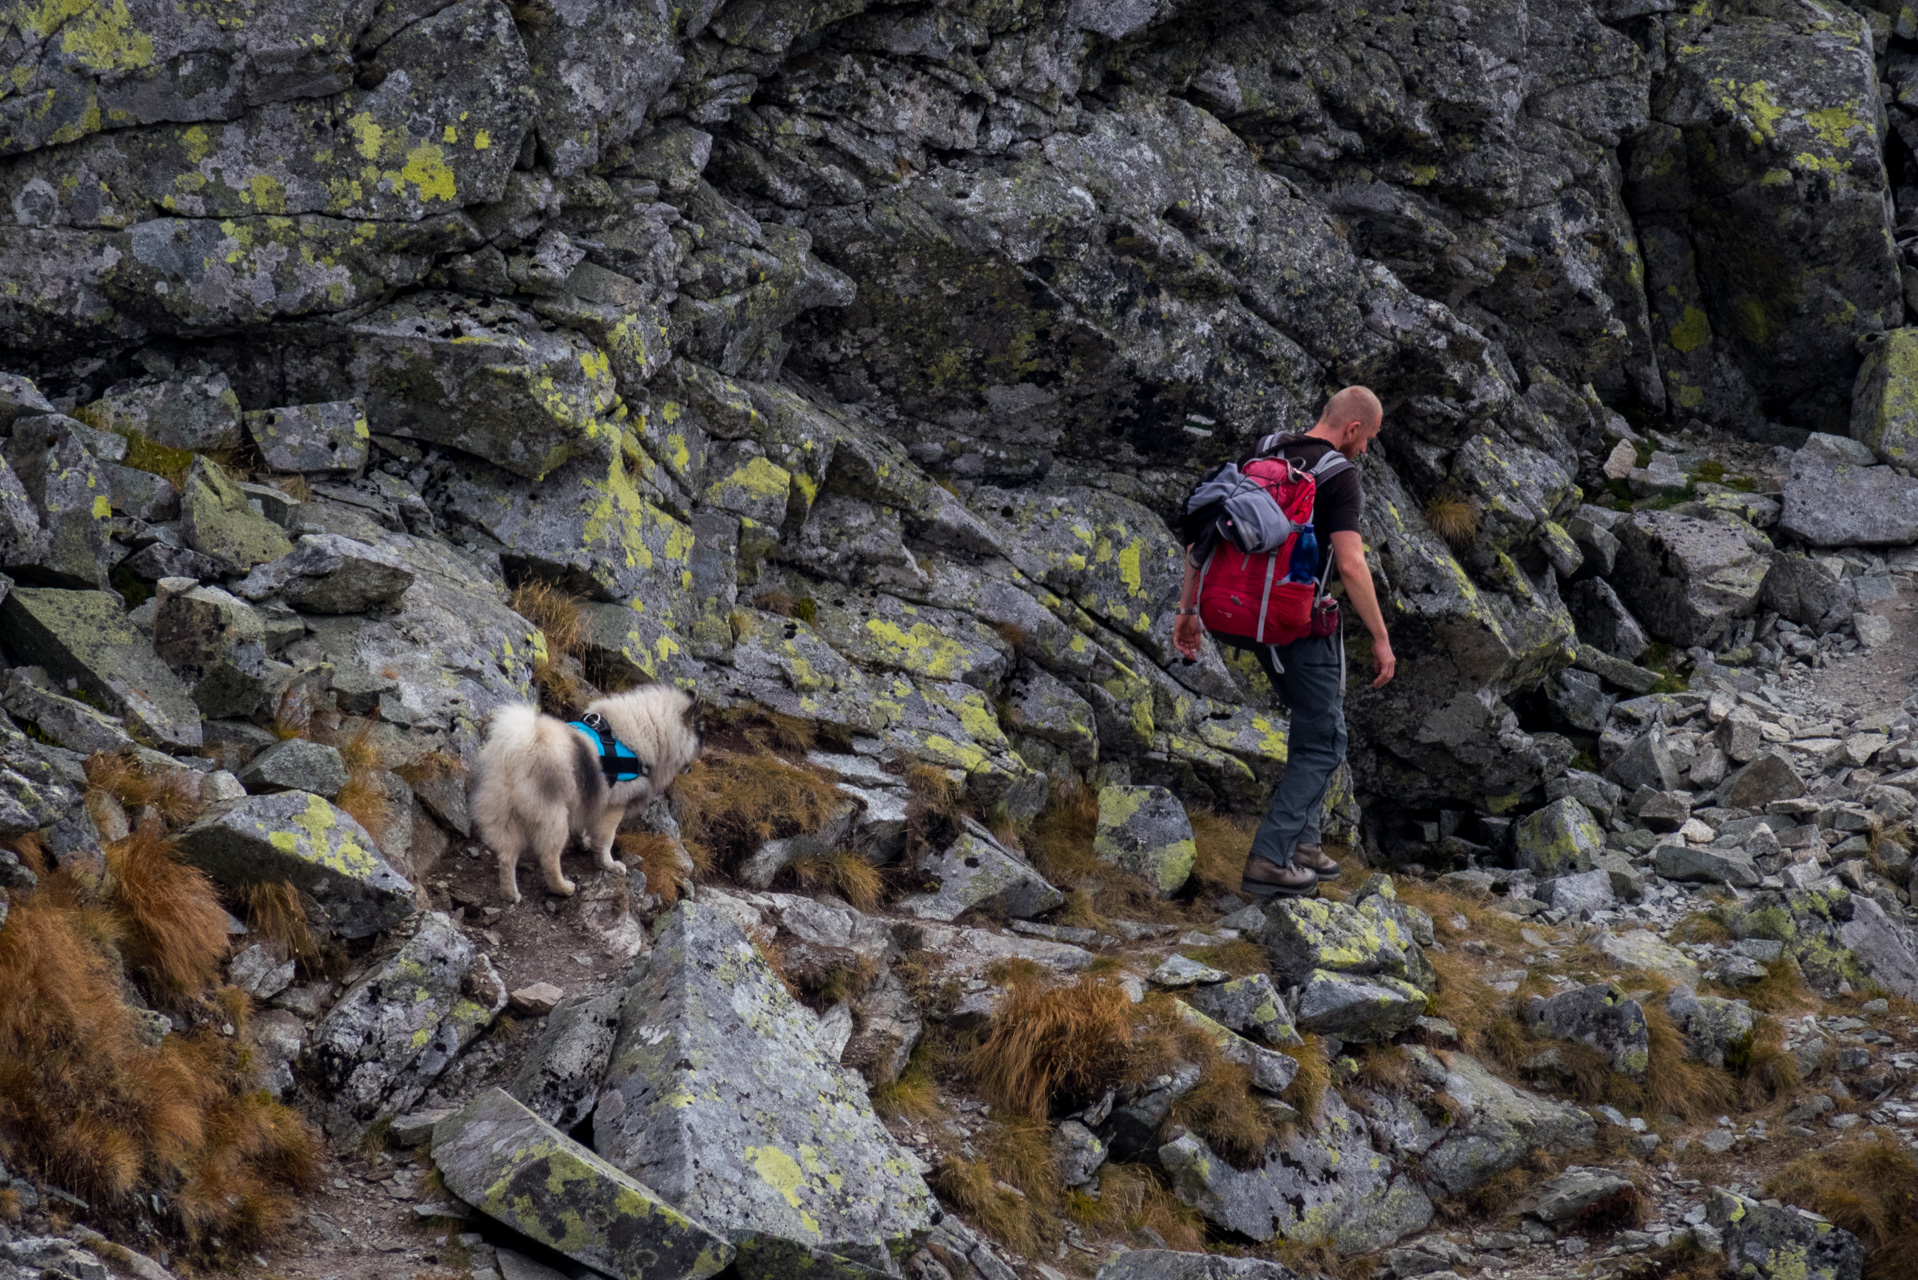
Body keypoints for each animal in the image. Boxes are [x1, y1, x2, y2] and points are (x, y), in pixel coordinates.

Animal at [473, 687, 705, 905]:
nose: (691, 769)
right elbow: (606, 840)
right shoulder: (613, 808)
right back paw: (562, 888)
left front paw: (583, 843)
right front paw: (610, 864)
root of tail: (518, 748)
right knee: (548, 858)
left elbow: (581, 827)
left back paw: (510, 894)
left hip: (504, 815)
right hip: (552, 817)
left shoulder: (582, 801)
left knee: (506, 856)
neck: (641, 735)